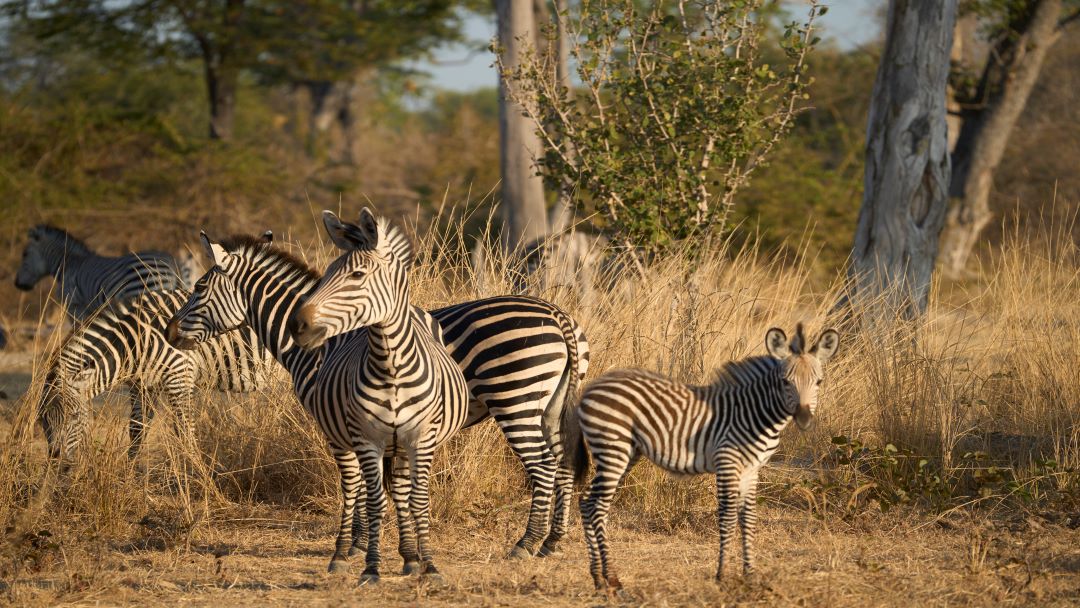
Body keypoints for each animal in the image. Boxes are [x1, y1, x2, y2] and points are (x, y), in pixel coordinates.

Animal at [38, 288, 273, 463]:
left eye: (74, 416)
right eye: (43, 420)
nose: (56, 458)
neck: (134, 342)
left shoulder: (180, 375)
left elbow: (185, 430)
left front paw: (196, 474)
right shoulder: (143, 385)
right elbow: (136, 429)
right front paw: (131, 476)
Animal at [164, 216, 589, 575]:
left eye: (198, 289)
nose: (169, 332)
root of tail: (558, 315)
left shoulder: (337, 424)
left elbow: (355, 484)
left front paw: (351, 547)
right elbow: (388, 487)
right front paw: (384, 546)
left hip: (517, 401)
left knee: (543, 466)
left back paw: (526, 543)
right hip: (550, 406)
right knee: (562, 463)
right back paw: (552, 541)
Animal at [567, 324, 840, 591]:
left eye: (819, 382)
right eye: (785, 382)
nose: (804, 420)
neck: (757, 414)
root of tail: (592, 387)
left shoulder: (752, 469)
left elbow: (748, 519)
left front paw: (750, 575)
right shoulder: (727, 461)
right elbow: (728, 518)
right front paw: (722, 576)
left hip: (624, 453)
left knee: (587, 502)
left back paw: (598, 579)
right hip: (613, 449)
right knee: (597, 506)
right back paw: (612, 578)